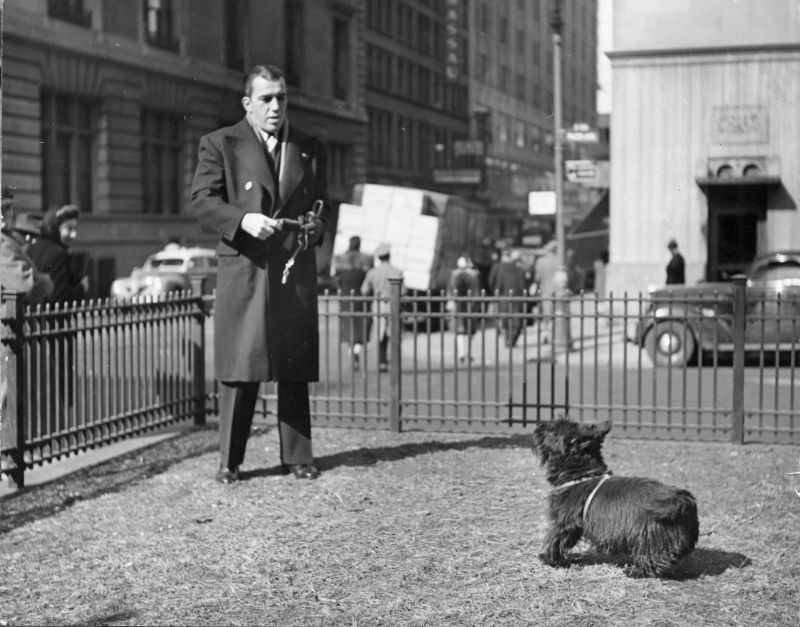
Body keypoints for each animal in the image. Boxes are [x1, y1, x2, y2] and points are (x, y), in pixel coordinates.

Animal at [532, 420, 700, 576]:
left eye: (553, 430)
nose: (540, 424)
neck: (581, 474)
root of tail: (683, 500)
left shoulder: (566, 522)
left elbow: (557, 539)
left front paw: (550, 559)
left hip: (650, 533)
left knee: (652, 556)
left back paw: (635, 571)